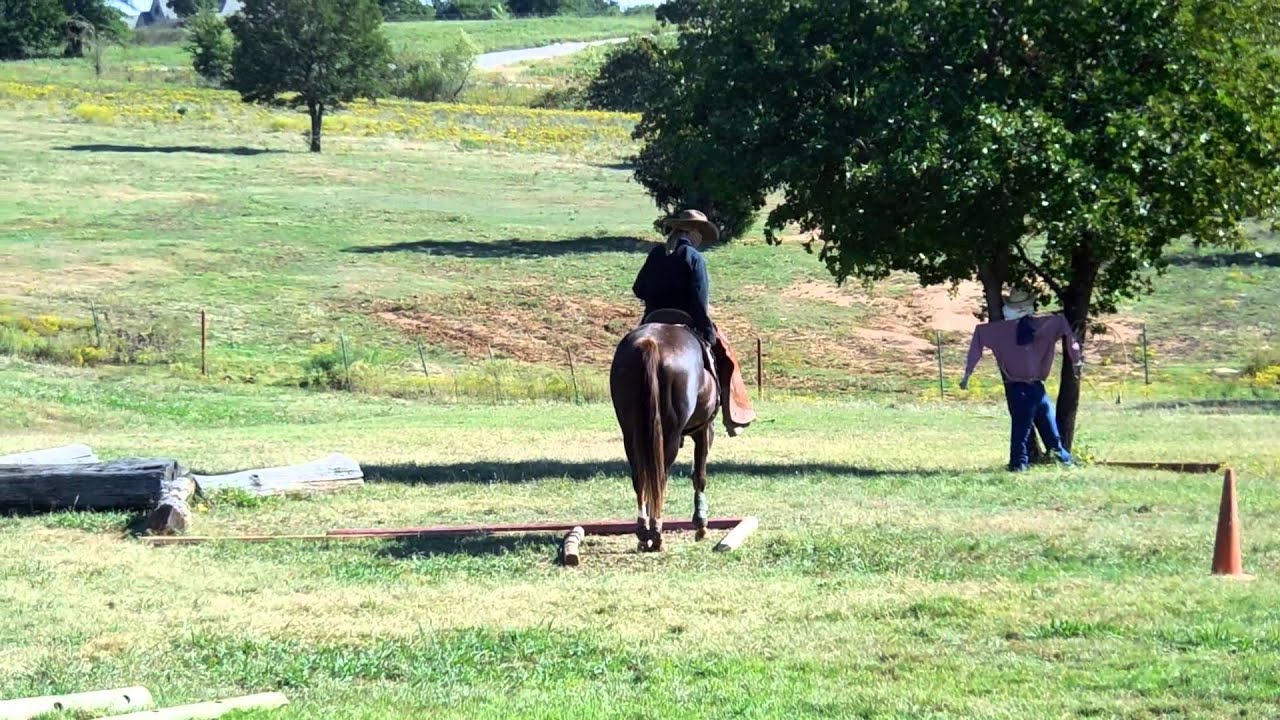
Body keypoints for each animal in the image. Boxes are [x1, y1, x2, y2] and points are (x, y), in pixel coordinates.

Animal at [609, 310, 720, 552]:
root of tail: (650, 343)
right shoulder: (704, 430)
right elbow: (699, 476)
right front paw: (701, 525)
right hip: (670, 436)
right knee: (660, 477)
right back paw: (657, 534)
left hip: (631, 435)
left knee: (641, 476)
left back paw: (644, 532)